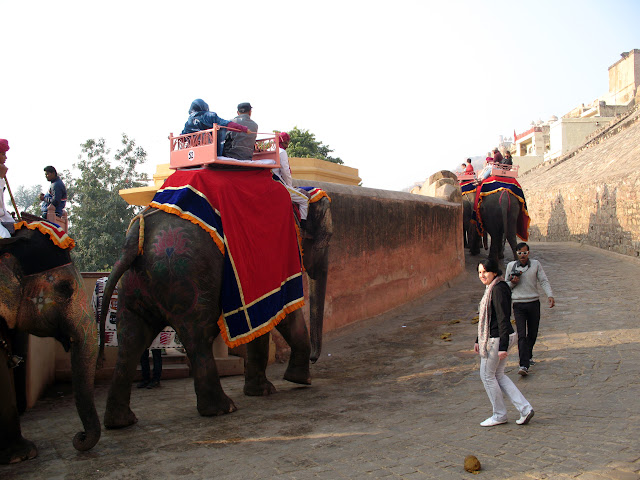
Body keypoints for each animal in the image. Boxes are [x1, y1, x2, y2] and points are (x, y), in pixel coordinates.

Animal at [99, 195, 330, 428]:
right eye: (328, 237)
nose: (314, 359)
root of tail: (134, 239)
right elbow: (283, 313)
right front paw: (299, 380)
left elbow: (261, 320)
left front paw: (262, 391)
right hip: (188, 279)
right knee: (197, 336)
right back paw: (223, 409)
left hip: (133, 286)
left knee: (131, 339)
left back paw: (120, 421)